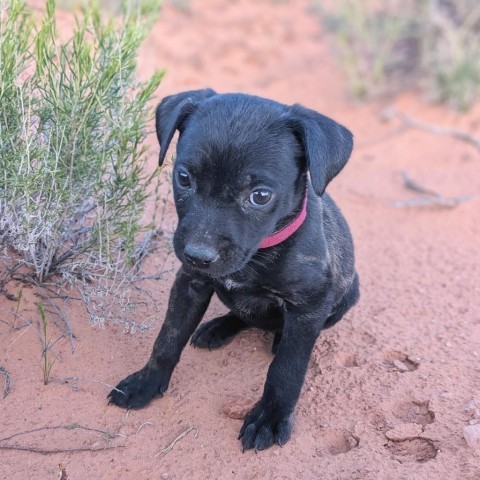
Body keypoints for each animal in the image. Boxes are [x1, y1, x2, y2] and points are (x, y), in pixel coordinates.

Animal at [108, 89, 356, 450]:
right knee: (242, 314)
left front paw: (270, 417)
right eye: (184, 178)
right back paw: (217, 328)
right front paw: (147, 381)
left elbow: (286, 369)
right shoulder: (190, 283)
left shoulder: (309, 305)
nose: (198, 255)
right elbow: (168, 337)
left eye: (260, 195)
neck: (261, 252)